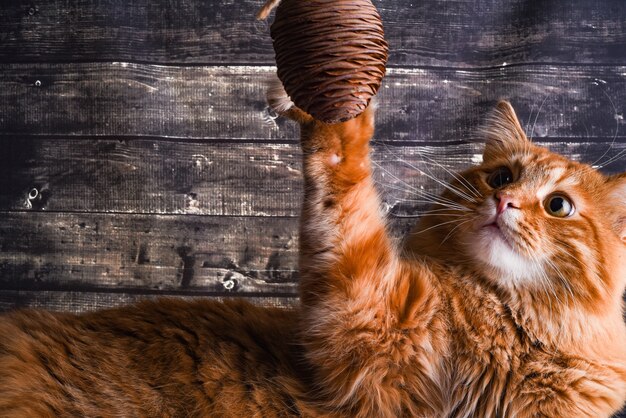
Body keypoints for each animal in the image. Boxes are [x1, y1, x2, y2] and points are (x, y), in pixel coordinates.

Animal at [0, 93, 620, 416]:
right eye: (501, 176)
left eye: (558, 205)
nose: (504, 201)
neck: (505, 321)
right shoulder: (363, 315)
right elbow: (344, 186)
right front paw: (338, 110)